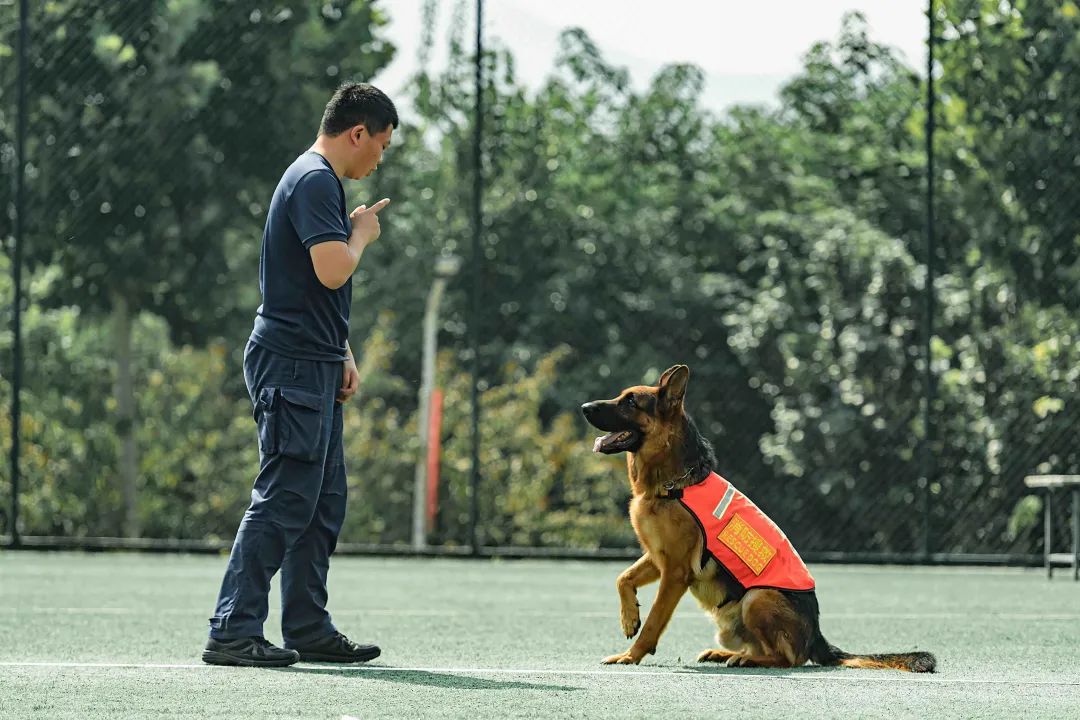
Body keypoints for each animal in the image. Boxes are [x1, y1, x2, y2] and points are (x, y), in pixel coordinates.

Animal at [583, 369, 937, 673]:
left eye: (631, 402)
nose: (584, 407)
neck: (673, 484)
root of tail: (817, 635)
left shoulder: (676, 572)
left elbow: (655, 620)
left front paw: (631, 655)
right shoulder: (658, 558)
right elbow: (623, 578)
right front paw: (629, 618)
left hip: (758, 597)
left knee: (788, 659)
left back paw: (746, 660)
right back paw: (726, 654)